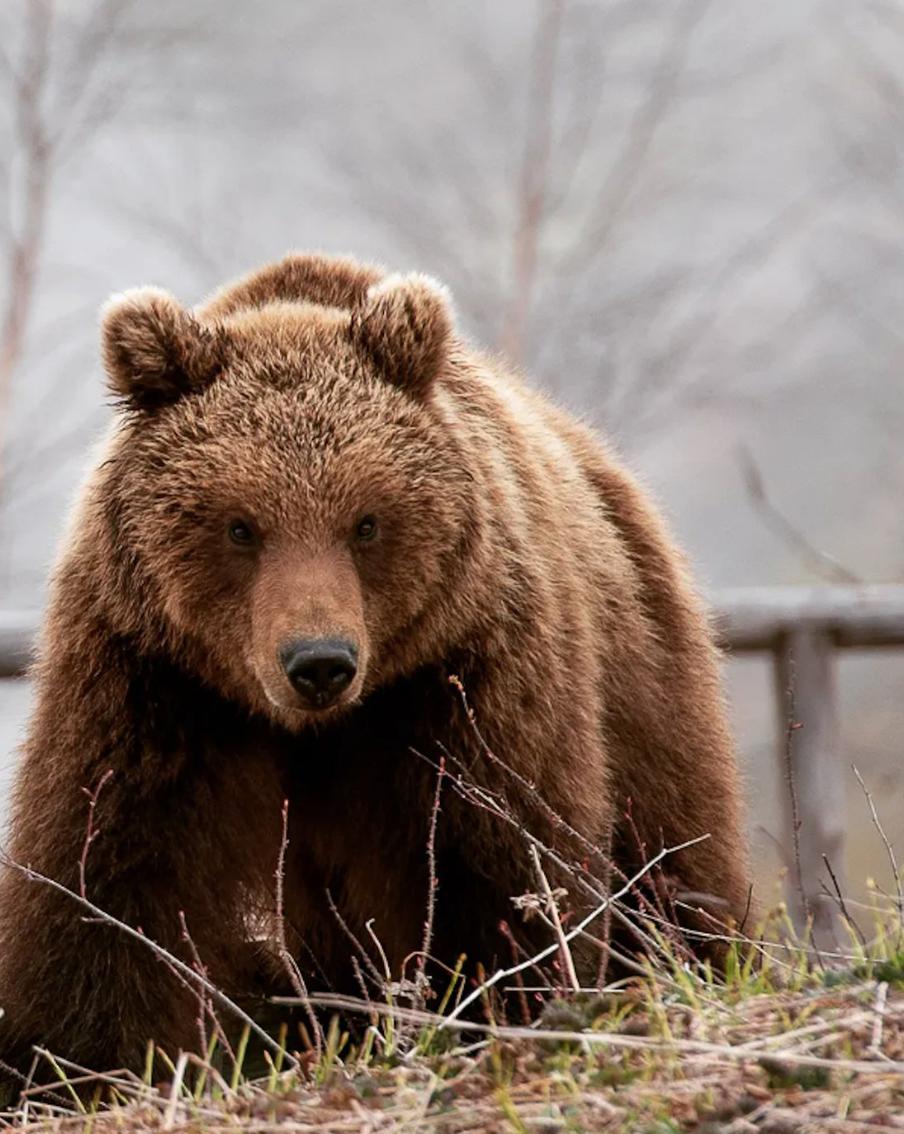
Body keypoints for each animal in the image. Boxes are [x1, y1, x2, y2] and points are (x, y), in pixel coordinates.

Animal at [0, 252, 751, 1077]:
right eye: (241, 526)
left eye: (365, 522)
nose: (319, 662)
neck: (309, 729)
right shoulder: (154, 682)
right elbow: (108, 878)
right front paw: (75, 1062)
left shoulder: (462, 677)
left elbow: (494, 865)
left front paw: (498, 1005)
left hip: (642, 671)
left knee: (672, 856)